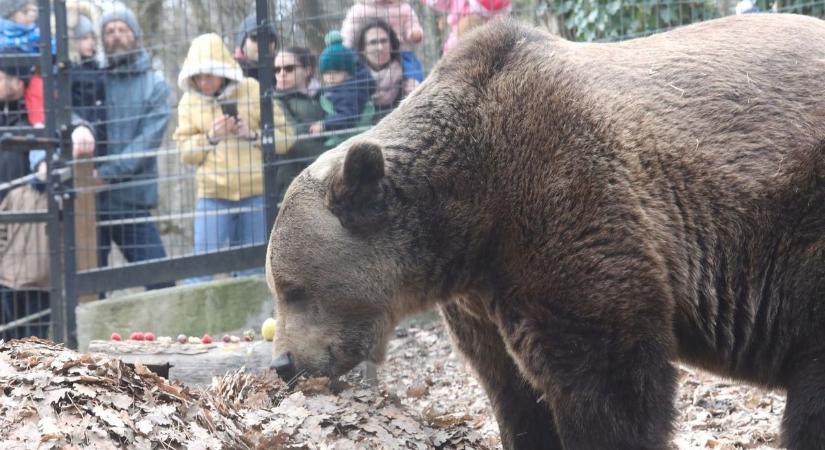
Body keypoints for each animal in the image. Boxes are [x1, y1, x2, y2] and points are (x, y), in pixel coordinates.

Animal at [268, 13, 824, 450]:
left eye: (292, 289)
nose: (284, 363)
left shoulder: (564, 198)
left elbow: (607, 373)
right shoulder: (479, 294)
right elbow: (514, 392)